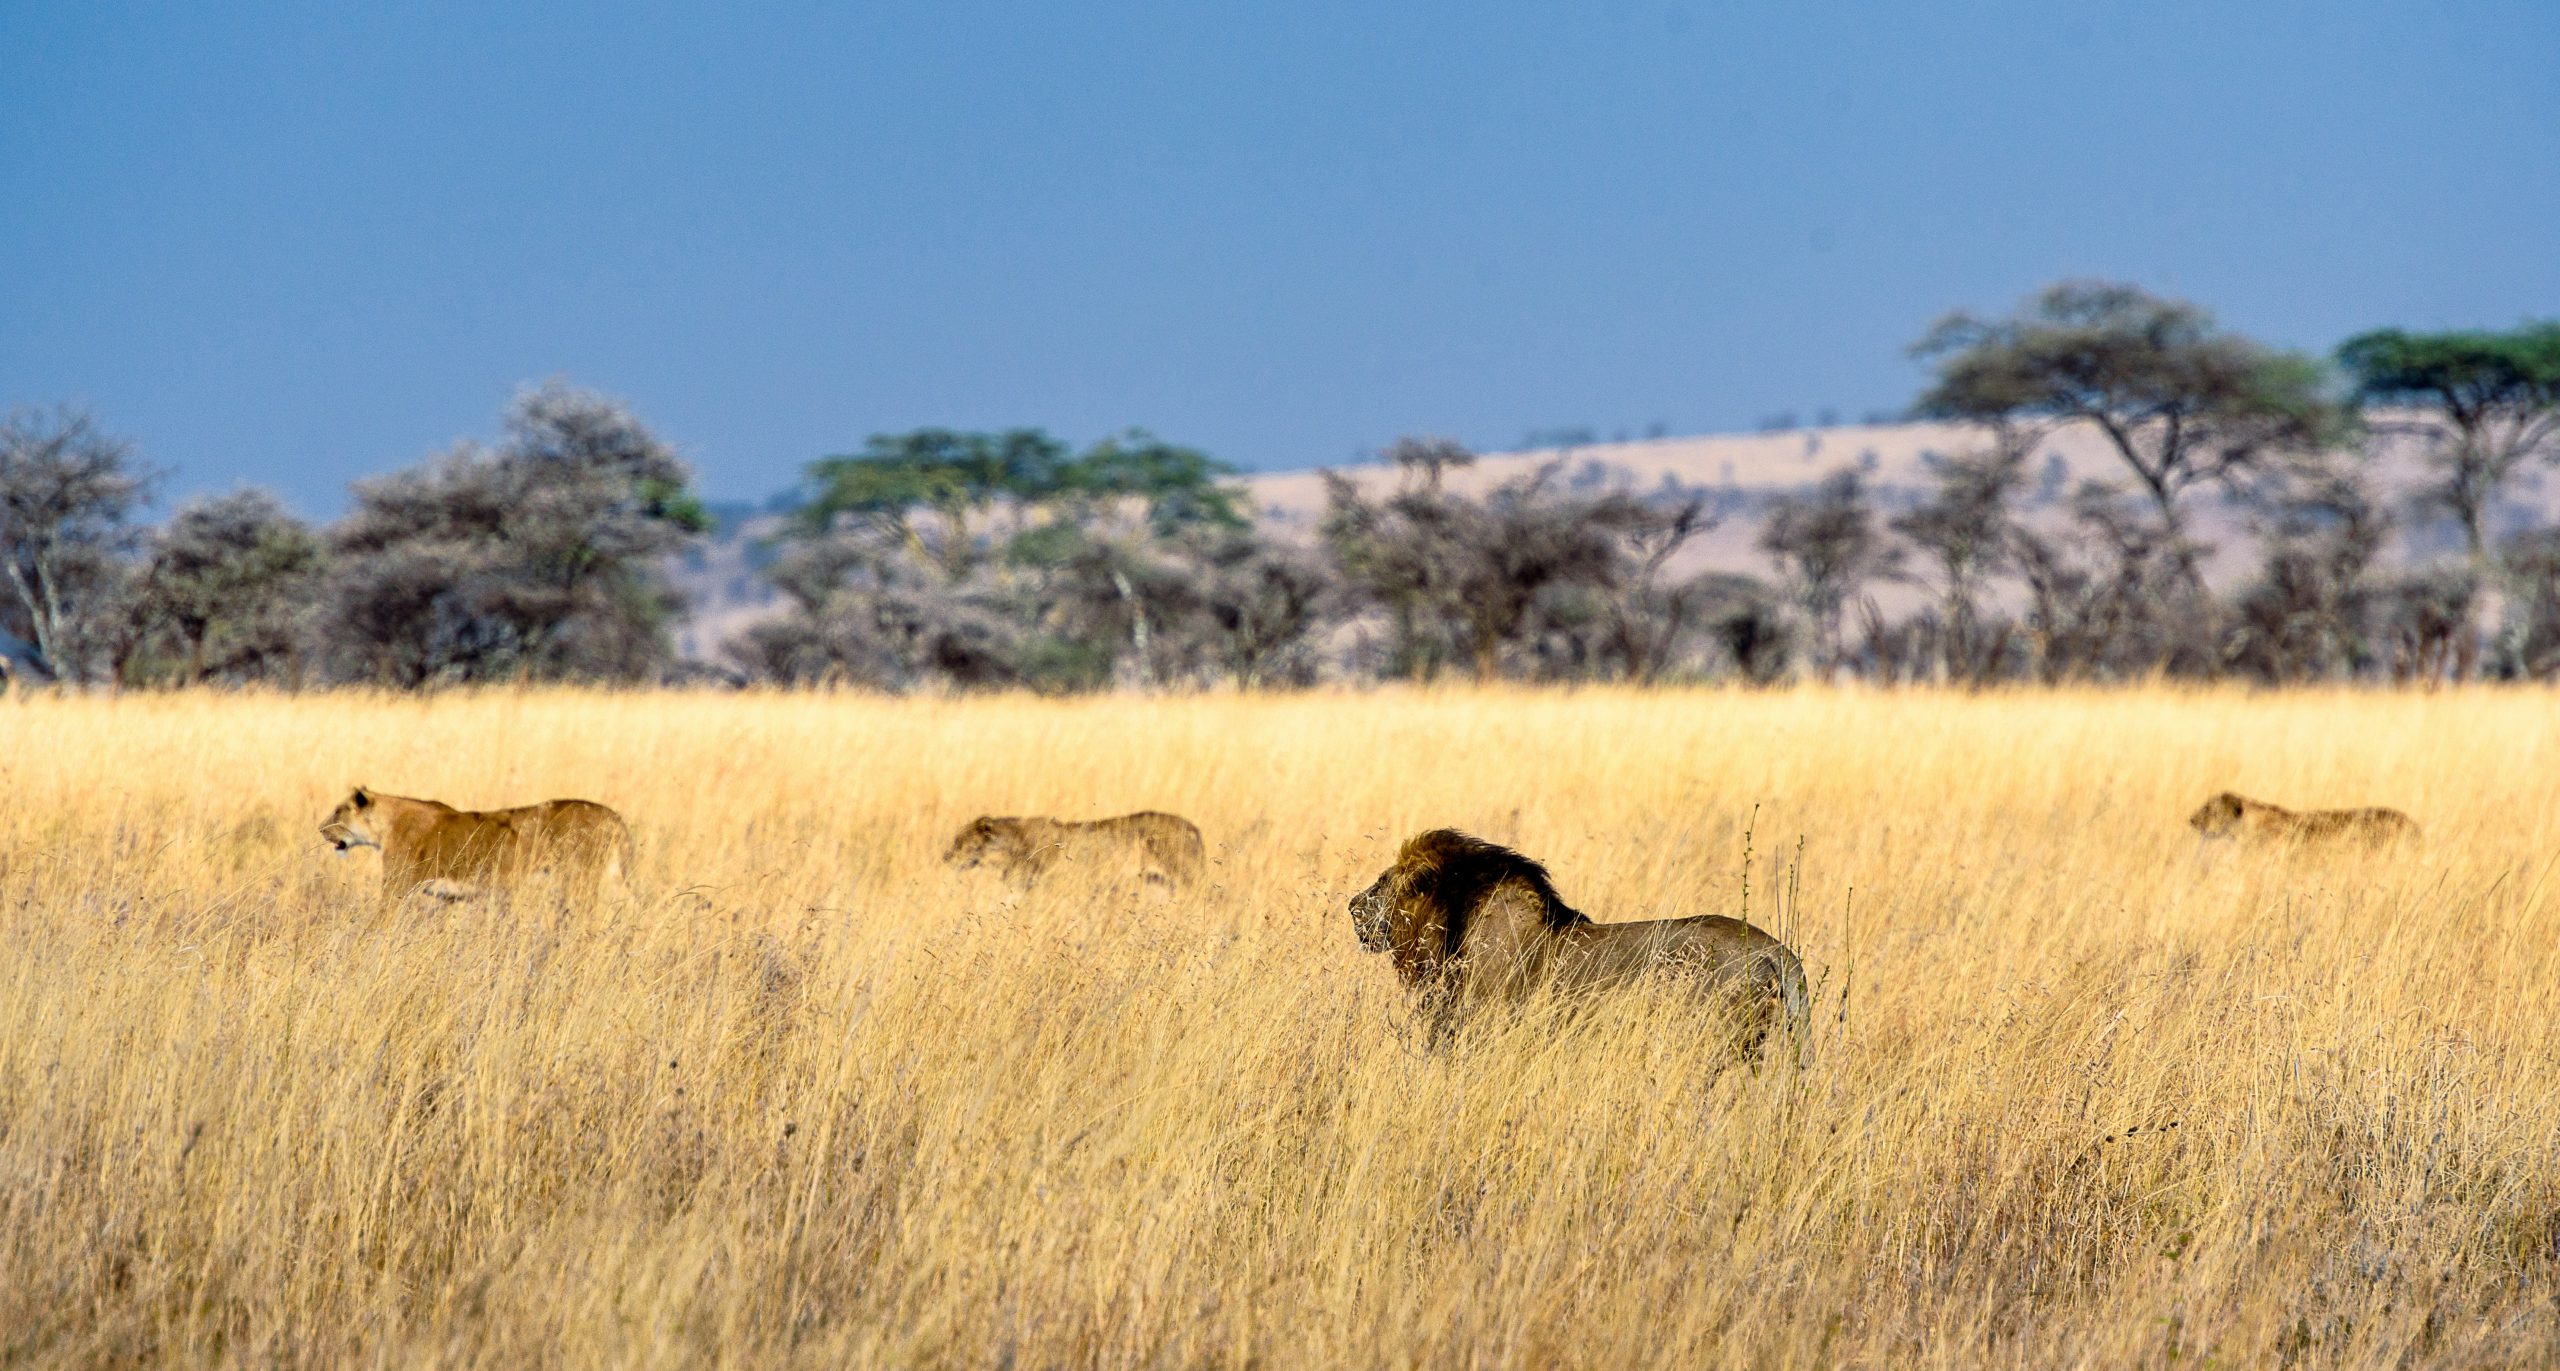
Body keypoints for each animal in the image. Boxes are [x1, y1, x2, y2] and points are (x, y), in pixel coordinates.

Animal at [316, 787, 634, 905]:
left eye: (338, 811)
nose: (320, 829)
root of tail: (615, 817)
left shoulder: (398, 888)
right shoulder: (446, 897)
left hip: (581, 882)